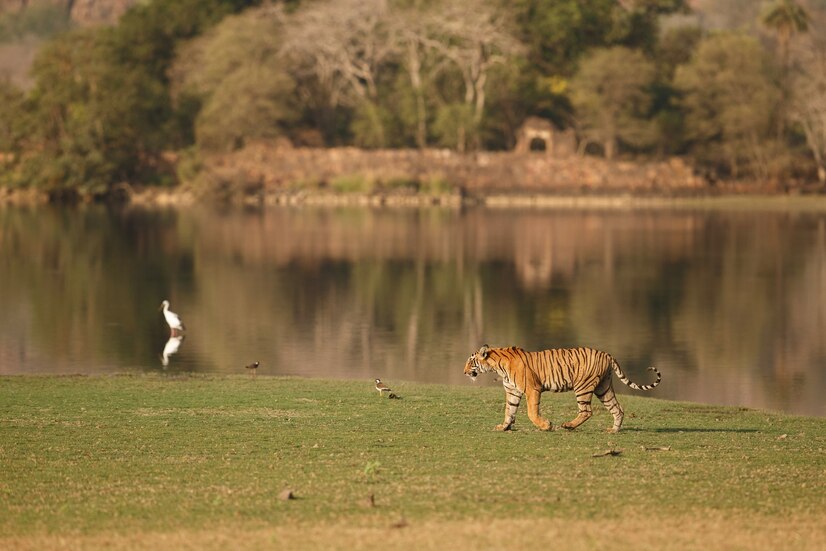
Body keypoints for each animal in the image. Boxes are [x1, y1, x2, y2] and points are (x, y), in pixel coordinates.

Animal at [463, 344, 661, 433]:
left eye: (470, 361)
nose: (464, 372)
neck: (497, 365)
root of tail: (606, 354)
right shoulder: (513, 391)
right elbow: (509, 410)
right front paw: (503, 427)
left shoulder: (532, 389)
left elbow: (531, 412)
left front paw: (546, 426)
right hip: (603, 388)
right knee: (617, 408)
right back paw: (613, 430)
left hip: (583, 387)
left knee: (586, 411)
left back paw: (568, 425)